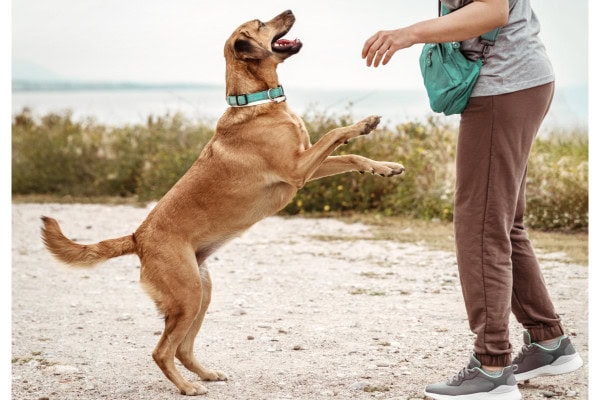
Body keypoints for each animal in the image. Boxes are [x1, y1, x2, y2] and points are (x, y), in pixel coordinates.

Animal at [42, 10, 406, 396]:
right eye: (260, 23)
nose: (290, 11)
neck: (258, 100)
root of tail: (137, 237)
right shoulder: (297, 168)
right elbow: (336, 135)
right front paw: (363, 125)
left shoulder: (307, 165)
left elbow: (350, 155)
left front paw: (385, 167)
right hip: (187, 296)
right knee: (162, 351)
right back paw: (187, 387)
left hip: (202, 292)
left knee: (183, 348)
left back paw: (205, 374)